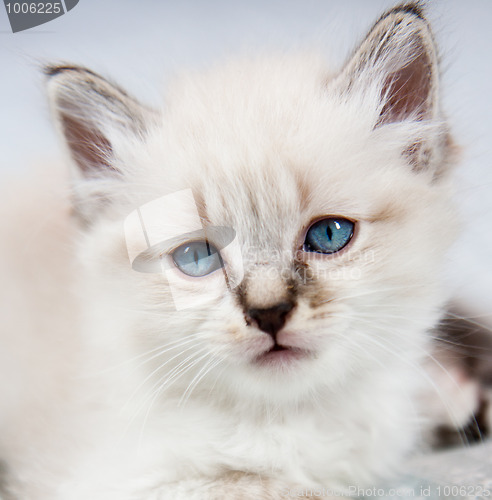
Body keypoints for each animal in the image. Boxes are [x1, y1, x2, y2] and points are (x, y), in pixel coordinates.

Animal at [0, 3, 484, 500]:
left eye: (329, 236)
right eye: (197, 258)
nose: (269, 313)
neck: (289, 420)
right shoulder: (128, 479)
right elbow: (280, 487)